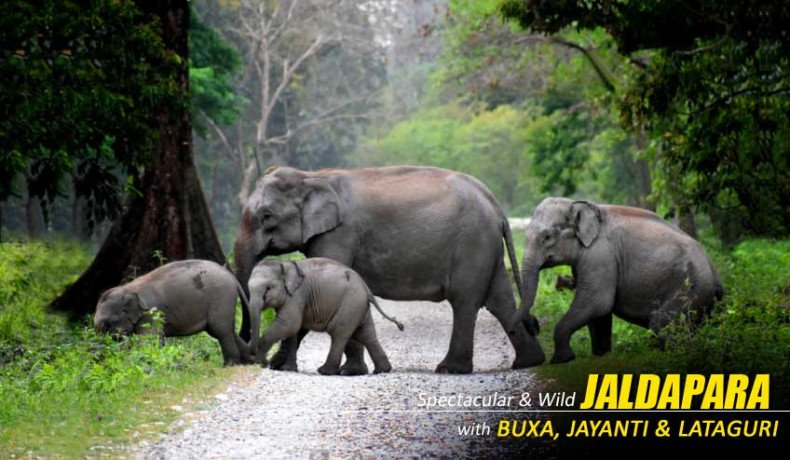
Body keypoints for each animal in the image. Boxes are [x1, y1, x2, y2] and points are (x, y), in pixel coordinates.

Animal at [94, 260, 252, 366]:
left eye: (108, 323)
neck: (128, 288)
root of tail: (230, 275)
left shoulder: (151, 315)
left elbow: (147, 340)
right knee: (225, 331)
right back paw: (250, 360)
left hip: (221, 297)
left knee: (221, 330)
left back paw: (230, 365)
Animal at [248, 258, 404, 375]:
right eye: (248, 289)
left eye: (268, 289)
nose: (265, 363)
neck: (284, 263)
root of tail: (366, 288)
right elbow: (293, 331)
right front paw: (288, 369)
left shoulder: (298, 295)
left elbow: (289, 324)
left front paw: (258, 361)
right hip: (359, 307)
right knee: (366, 335)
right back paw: (382, 370)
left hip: (350, 304)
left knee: (338, 333)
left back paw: (325, 371)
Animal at [510, 198, 724, 364]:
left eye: (547, 237)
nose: (534, 324)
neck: (578, 203)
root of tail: (716, 274)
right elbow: (598, 314)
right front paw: (601, 358)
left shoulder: (600, 256)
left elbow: (596, 303)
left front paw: (561, 360)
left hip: (690, 288)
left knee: (661, 324)